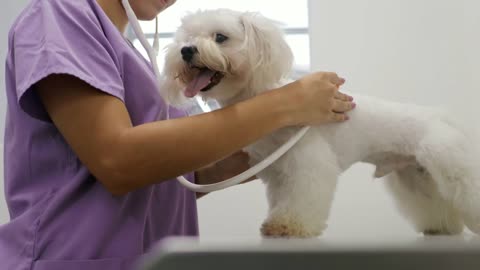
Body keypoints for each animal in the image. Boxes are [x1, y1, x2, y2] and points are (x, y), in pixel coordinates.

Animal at [160, 8, 480, 237]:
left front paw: (290, 226)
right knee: (434, 204)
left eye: (220, 38)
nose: (186, 50)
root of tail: (440, 115)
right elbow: (281, 198)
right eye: (186, 38)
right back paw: (441, 226)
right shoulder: (278, 174)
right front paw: (276, 222)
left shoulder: (307, 165)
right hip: (416, 176)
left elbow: (303, 198)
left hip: (450, 165)